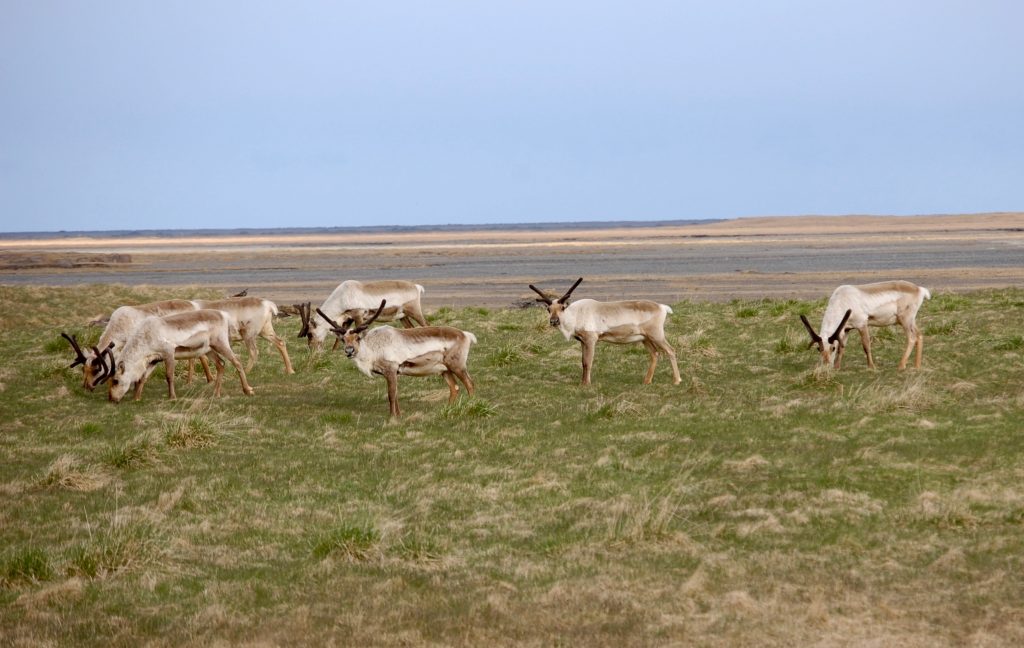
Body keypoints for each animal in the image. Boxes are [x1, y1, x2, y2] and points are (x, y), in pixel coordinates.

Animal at [104, 309, 255, 403]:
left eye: (116, 380)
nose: (112, 399)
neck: (145, 336)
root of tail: (224, 315)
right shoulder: (154, 360)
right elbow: (143, 378)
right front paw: (136, 398)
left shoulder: (169, 352)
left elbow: (169, 376)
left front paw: (172, 397)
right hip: (208, 350)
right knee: (221, 364)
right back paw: (216, 394)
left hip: (221, 344)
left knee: (237, 362)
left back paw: (248, 390)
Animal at [297, 280, 427, 351]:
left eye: (309, 334)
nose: (312, 349)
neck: (342, 295)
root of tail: (416, 286)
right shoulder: (348, 319)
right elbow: (339, 337)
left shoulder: (358, 316)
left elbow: (361, 333)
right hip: (403, 317)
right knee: (410, 328)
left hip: (415, 312)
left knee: (426, 325)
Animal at [315, 301, 476, 419]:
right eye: (343, 339)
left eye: (358, 338)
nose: (349, 351)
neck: (372, 349)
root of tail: (466, 335)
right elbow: (396, 394)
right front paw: (398, 415)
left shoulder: (391, 369)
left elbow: (391, 394)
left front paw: (392, 417)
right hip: (444, 370)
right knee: (454, 388)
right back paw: (447, 409)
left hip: (457, 365)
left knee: (470, 384)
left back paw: (471, 406)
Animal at [529, 278, 682, 386]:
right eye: (548, 309)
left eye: (562, 307)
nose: (554, 321)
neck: (575, 315)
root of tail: (662, 307)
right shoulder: (582, 341)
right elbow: (583, 362)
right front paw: (582, 382)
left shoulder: (591, 339)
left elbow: (588, 361)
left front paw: (587, 384)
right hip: (645, 338)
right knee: (655, 354)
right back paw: (647, 381)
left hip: (656, 334)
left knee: (670, 350)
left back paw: (677, 380)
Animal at [799, 280, 931, 370]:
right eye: (819, 349)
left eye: (832, 348)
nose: (826, 366)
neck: (842, 300)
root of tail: (919, 289)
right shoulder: (846, 329)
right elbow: (842, 348)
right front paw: (837, 367)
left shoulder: (862, 324)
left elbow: (866, 345)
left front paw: (871, 366)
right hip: (910, 321)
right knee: (919, 335)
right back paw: (917, 366)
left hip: (905, 320)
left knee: (912, 338)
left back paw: (901, 365)